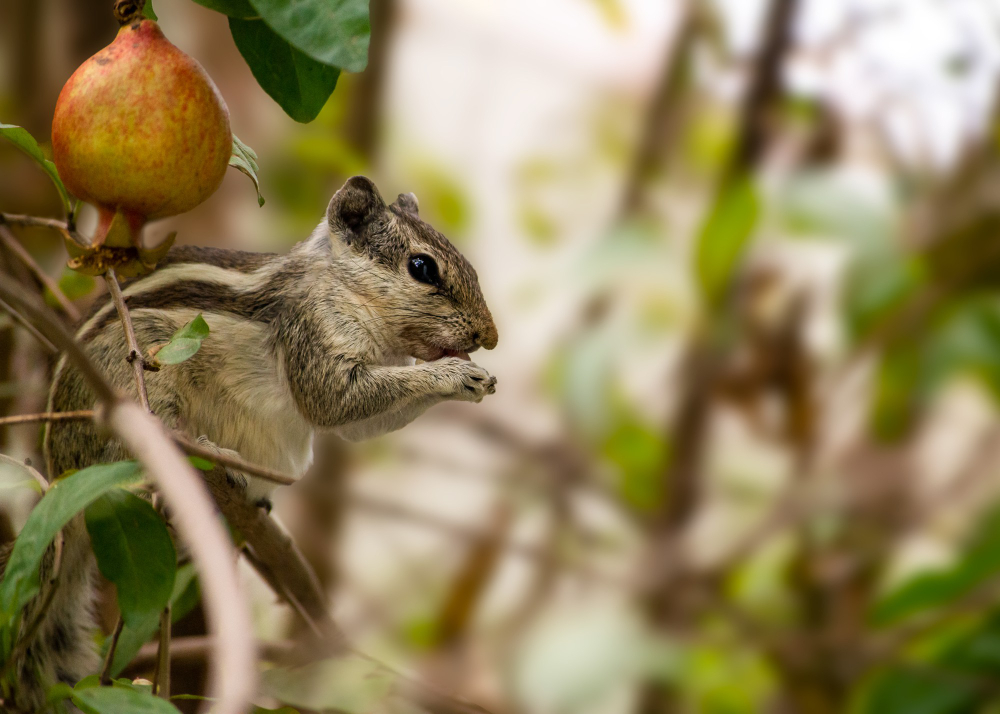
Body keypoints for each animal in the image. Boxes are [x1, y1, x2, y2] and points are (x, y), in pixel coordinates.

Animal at [0, 175, 498, 708]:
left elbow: (355, 424)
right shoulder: (311, 332)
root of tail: (60, 474)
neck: (340, 288)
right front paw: (454, 373)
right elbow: (333, 402)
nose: (488, 336)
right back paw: (209, 456)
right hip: (135, 385)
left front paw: (473, 381)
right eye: (422, 268)